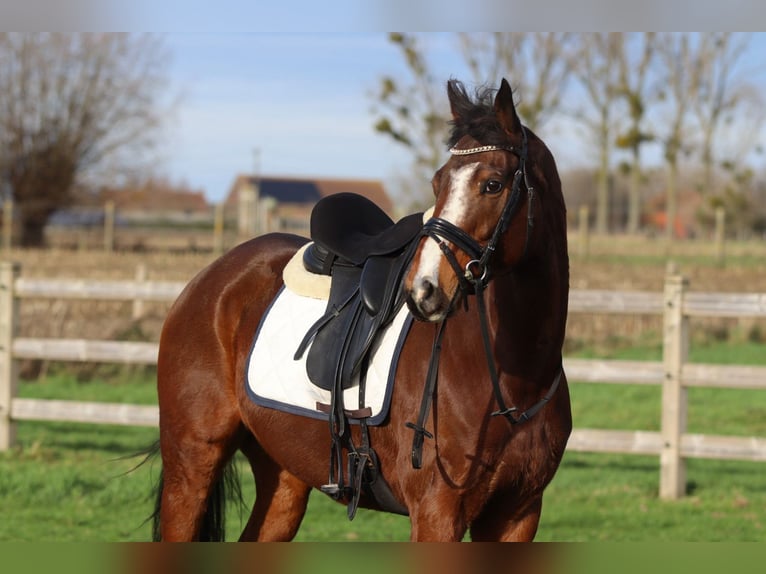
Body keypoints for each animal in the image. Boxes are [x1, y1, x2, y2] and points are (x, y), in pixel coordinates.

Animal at [151, 78, 571, 542]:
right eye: (438, 182)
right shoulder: (437, 515)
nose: (423, 289)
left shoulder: (518, 514)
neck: (512, 382)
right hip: (192, 465)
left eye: (493, 184)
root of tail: (210, 279)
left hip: (283, 480)